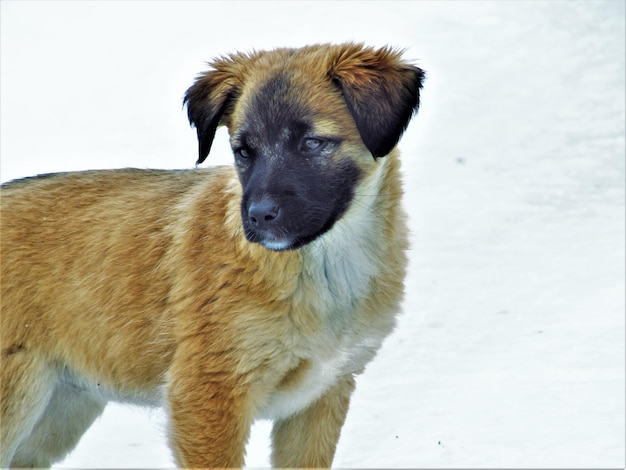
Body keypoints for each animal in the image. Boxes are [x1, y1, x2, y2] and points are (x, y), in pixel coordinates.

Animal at [1, 43, 424, 466]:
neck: (323, 265)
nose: (258, 216)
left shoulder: (320, 396)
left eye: (312, 143)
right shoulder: (206, 393)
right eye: (243, 151)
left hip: (61, 411)